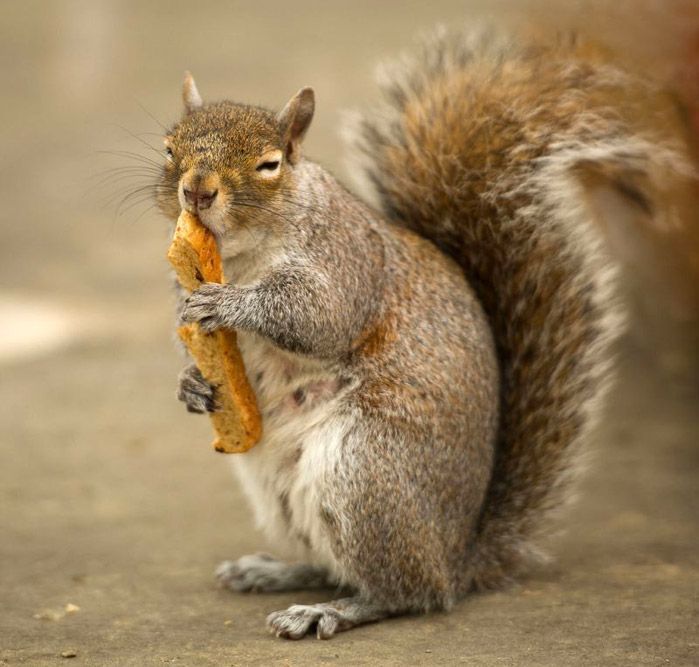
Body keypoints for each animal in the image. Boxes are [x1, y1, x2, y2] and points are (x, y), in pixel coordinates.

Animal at [155, 28, 695, 639]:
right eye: (170, 148)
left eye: (270, 164)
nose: (197, 192)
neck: (238, 257)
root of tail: (457, 559)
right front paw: (191, 384)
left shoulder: (347, 263)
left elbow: (314, 317)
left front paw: (229, 304)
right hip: (282, 492)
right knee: (331, 564)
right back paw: (275, 571)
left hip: (366, 473)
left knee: (405, 592)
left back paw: (332, 610)